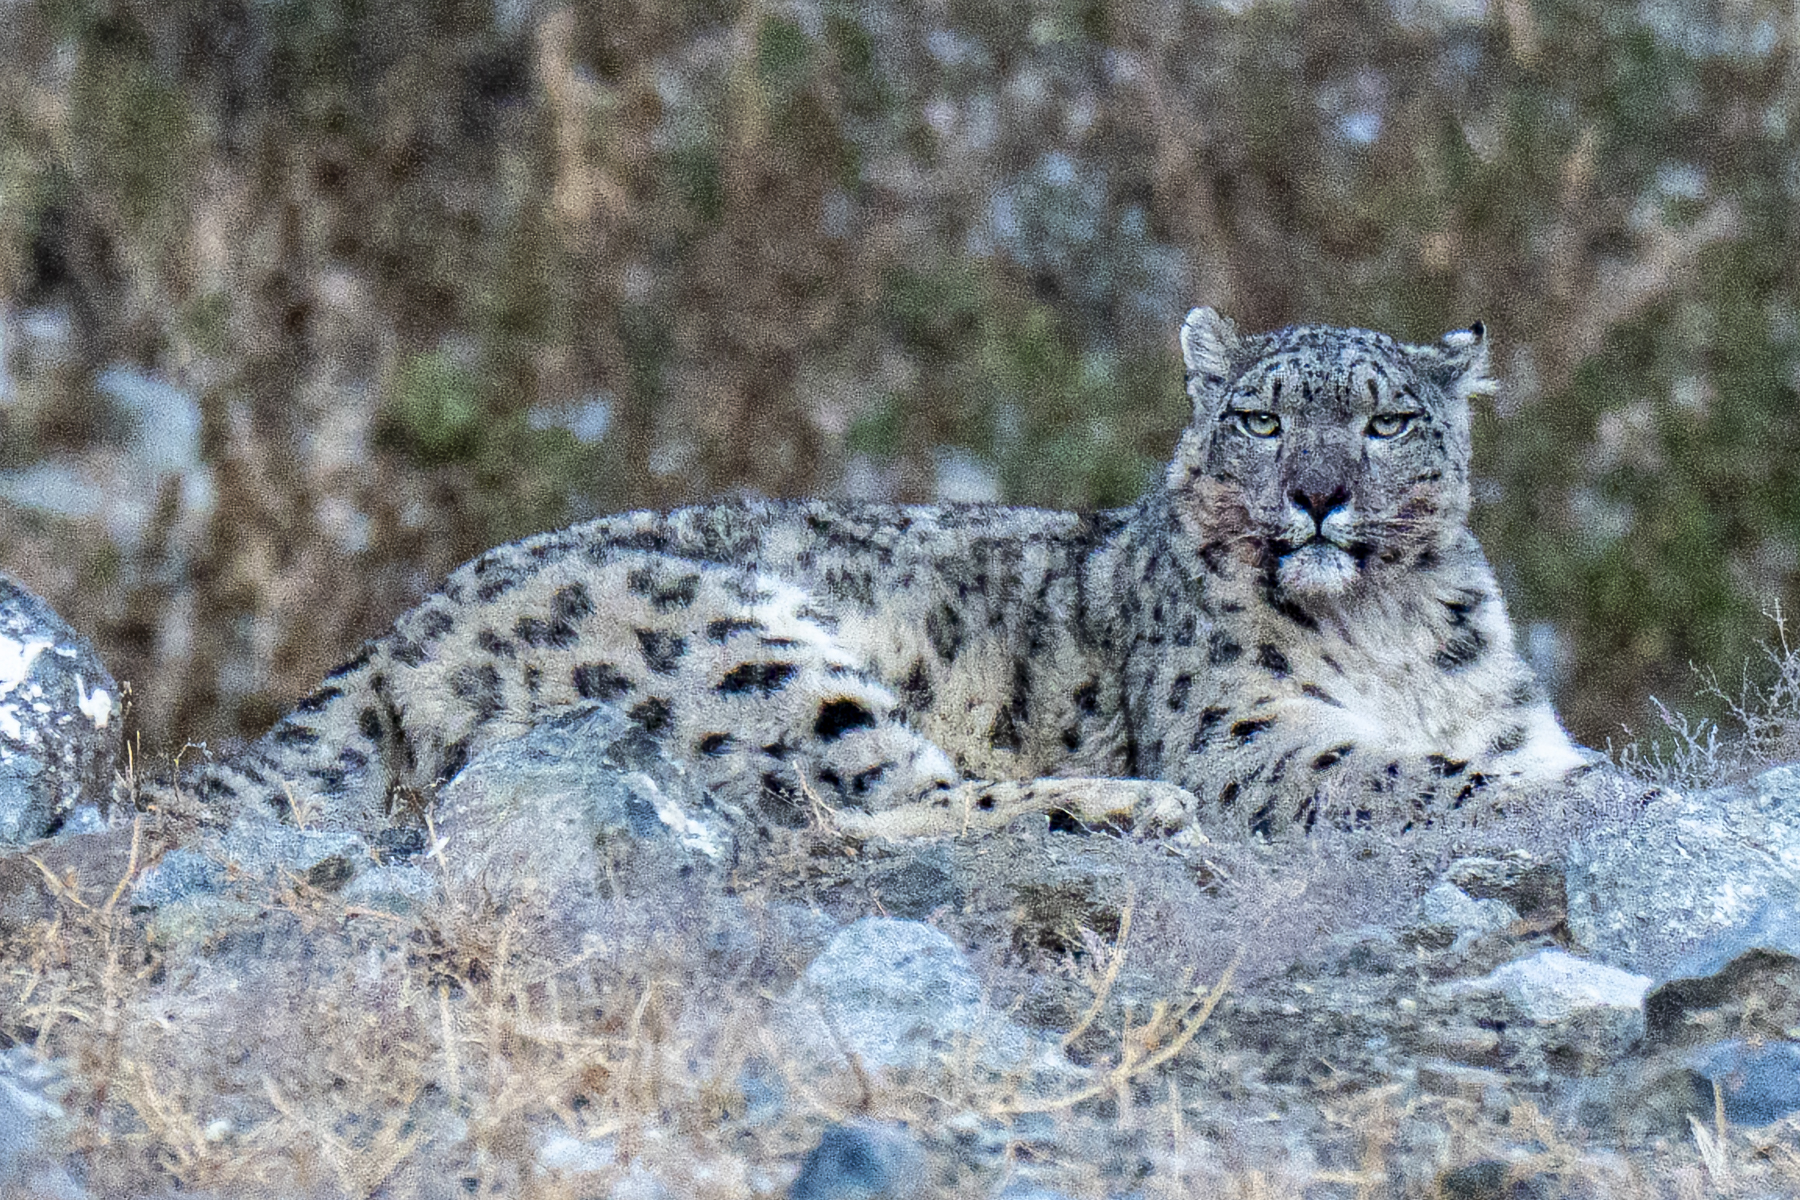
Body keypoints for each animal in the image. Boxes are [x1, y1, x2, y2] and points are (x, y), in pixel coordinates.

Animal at [166, 307, 1596, 847]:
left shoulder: (1509, 715)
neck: (1389, 632)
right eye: (1257, 418)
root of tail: (400, 626)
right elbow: (1394, 772)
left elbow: (1506, 757)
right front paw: (1569, 800)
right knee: (862, 803)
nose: (1316, 495)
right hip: (744, 650)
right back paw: (1126, 805)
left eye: (1385, 421)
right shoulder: (1244, 733)